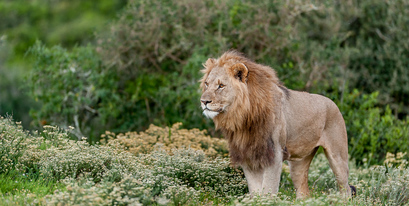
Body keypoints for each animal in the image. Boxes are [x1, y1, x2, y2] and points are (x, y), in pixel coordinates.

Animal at [198, 50, 354, 199]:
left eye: (221, 86)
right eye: (206, 84)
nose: (204, 101)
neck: (244, 117)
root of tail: (333, 103)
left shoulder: (274, 154)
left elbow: (269, 189)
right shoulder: (247, 155)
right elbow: (255, 191)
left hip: (338, 156)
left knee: (345, 188)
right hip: (299, 162)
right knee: (303, 192)